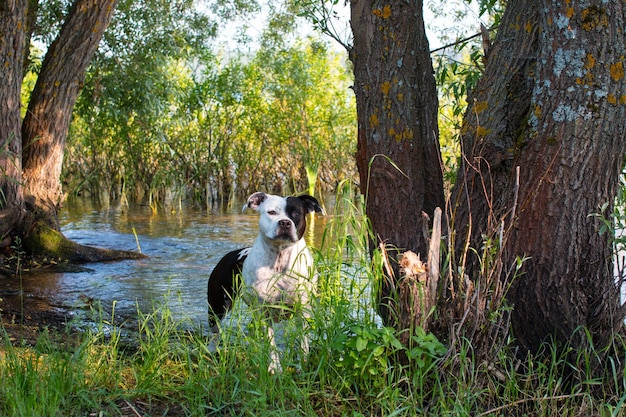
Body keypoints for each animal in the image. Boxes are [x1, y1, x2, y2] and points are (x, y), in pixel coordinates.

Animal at [208, 192, 322, 370]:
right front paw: (275, 368)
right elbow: (271, 343)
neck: (280, 259)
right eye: (272, 212)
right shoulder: (264, 312)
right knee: (215, 331)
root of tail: (228, 256)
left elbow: (303, 340)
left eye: (296, 213)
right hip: (218, 306)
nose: (285, 222)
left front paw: (302, 365)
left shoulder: (303, 309)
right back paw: (213, 352)